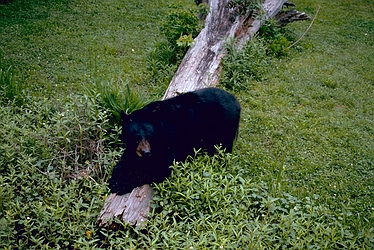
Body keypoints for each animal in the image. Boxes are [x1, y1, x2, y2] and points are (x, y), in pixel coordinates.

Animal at [109, 88, 241, 195]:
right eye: (135, 138)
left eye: (150, 136)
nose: (146, 153)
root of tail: (236, 101)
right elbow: (126, 158)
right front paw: (116, 175)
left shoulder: (168, 140)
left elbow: (159, 167)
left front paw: (119, 184)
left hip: (226, 126)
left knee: (224, 148)